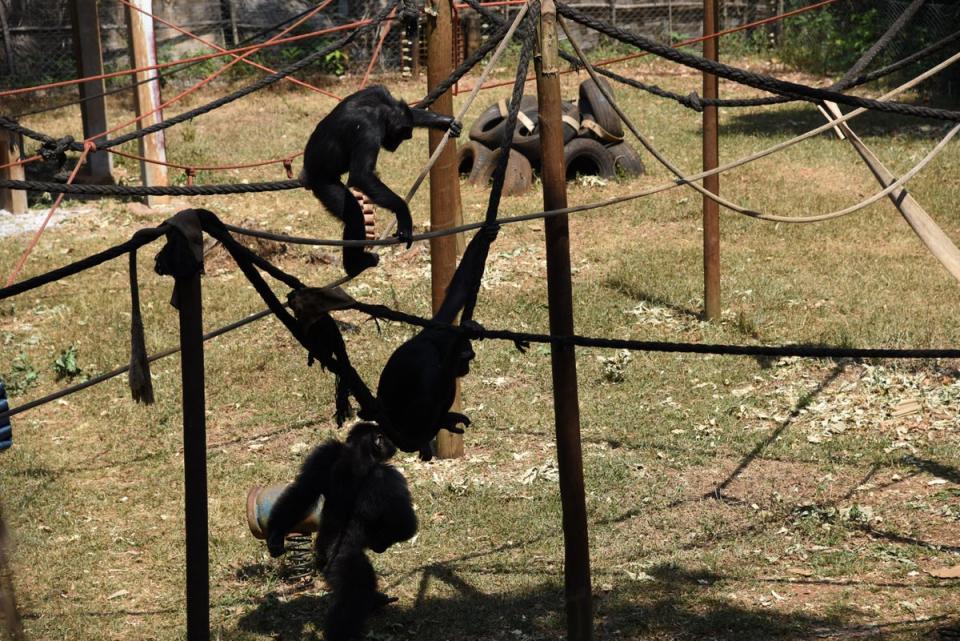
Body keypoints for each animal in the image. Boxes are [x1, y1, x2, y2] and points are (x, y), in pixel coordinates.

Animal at [264, 422, 414, 636]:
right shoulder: (387, 475)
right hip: (347, 565)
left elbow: (302, 491)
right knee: (353, 598)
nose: (394, 445)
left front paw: (275, 536)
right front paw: (380, 542)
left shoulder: (324, 453)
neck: (359, 452)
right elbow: (404, 522)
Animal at [302, 85, 464, 276]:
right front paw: (403, 214)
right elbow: (362, 175)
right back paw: (355, 265)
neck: (381, 109)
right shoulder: (368, 130)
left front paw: (445, 121)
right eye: (403, 134)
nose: (407, 137)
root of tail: (305, 173)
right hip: (324, 182)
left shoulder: (377, 89)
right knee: (354, 216)